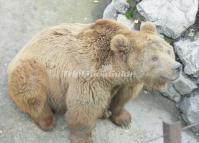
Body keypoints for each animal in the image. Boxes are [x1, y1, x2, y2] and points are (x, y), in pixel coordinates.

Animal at [7, 19, 181, 143]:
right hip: (35, 70)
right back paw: (47, 121)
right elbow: (84, 109)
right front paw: (84, 138)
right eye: (154, 58)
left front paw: (124, 118)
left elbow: (122, 98)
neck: (114, 72)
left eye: (168, 51)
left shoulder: (126, 83)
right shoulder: (89, 77)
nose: (177, 67)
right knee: (32, 93)